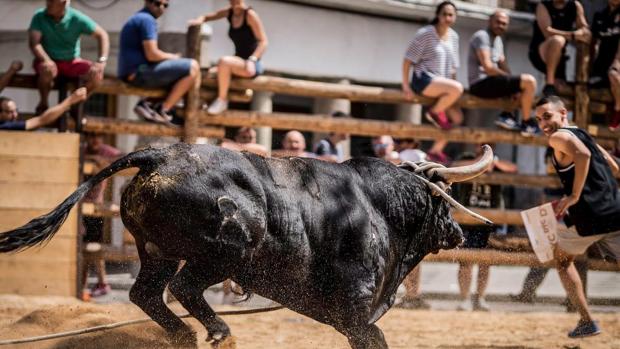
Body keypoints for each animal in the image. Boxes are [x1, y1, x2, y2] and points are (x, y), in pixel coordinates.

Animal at [0, 143, 492, 346]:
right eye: (446, 197)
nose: (459, 231)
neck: (379, 207)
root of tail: (157, 155)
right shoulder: (354, 315)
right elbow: (375, 338)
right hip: (226, 251)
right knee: (184, 289)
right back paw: (217, 331)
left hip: (159, 253)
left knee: (148, 293)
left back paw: (185, 335)